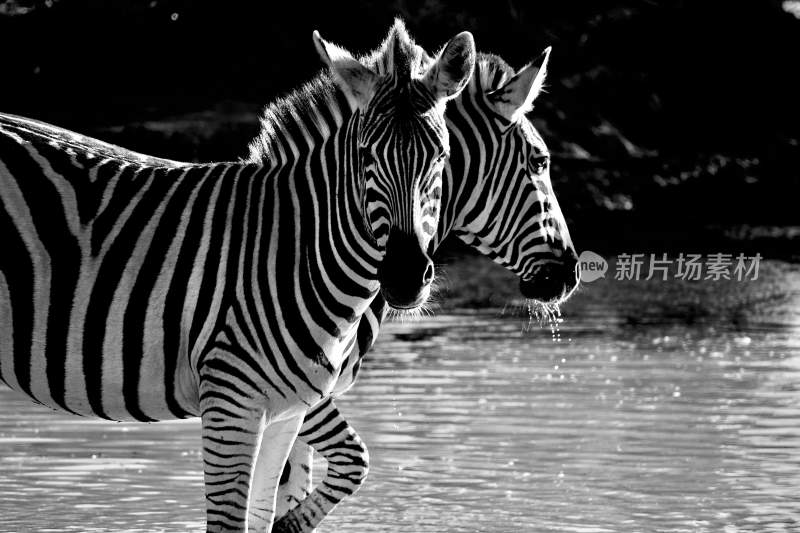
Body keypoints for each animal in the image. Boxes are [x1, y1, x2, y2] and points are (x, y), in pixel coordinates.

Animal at [0, 18, 476, 528]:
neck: (296, 250)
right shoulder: (231, 402)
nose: (405, 277)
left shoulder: (287, 411)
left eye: (442, 157)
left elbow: (262, 515)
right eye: (366, 155)